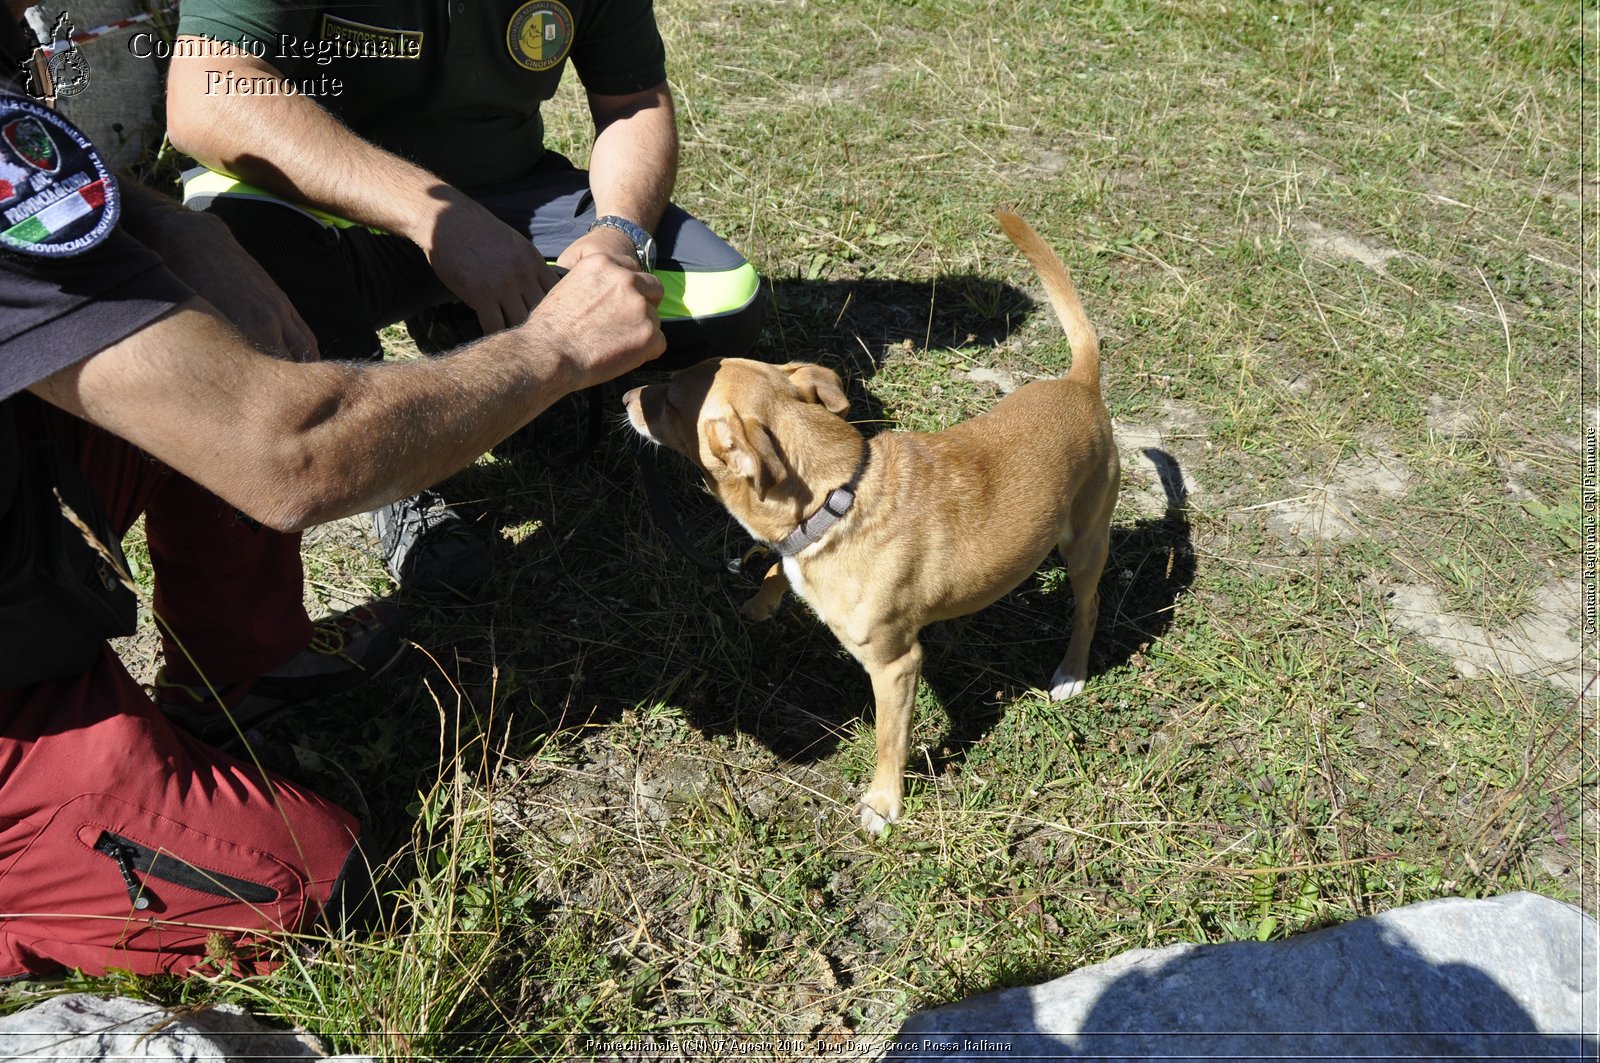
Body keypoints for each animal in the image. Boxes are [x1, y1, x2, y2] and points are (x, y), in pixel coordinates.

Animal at [617, 214, 1120, 832]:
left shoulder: (895, 665)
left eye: (667, 400)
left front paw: (883, 803)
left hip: (1084, 545)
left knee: (1089, 608)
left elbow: (888, 740)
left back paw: (1071, 671)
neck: (837, 497)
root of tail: (1080, 382)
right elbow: (777, 569)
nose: (627, 391)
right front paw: (764, 599)